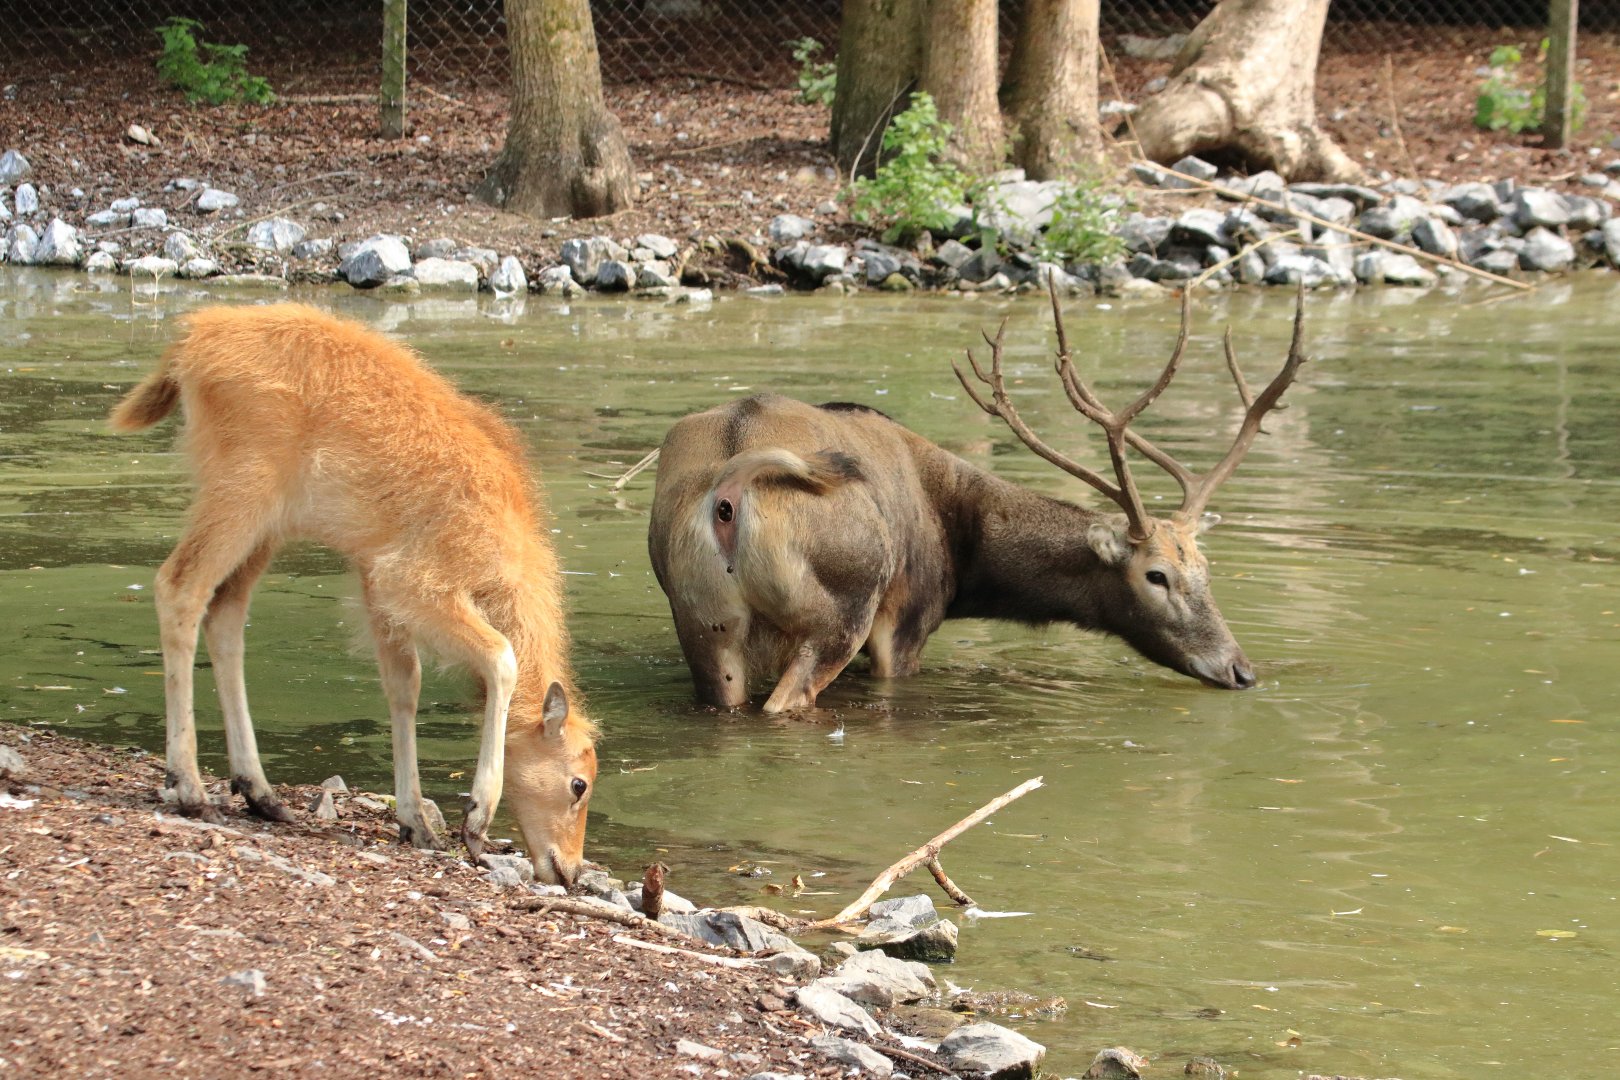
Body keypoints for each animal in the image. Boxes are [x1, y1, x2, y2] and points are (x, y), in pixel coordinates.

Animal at [108, 303, 597, 884]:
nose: (569, 870)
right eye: (579, 784)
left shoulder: (376, 586)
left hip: (265, 529)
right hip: (238, 496)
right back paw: (188, 787)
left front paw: (417, 824)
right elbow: (501, 656)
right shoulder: (409, 581)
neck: (508, 545)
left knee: (224, 615)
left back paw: (261, 794)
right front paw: (474, 821)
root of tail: (193, 338)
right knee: (179, 587)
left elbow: (404, 685)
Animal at [647, 284, 1307, 712]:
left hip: (701, 620)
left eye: (1205, 568)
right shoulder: (907, 621)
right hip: (843, 603)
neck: (965, 559)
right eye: (1157, 575)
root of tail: (732, 486)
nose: (1240, 669)